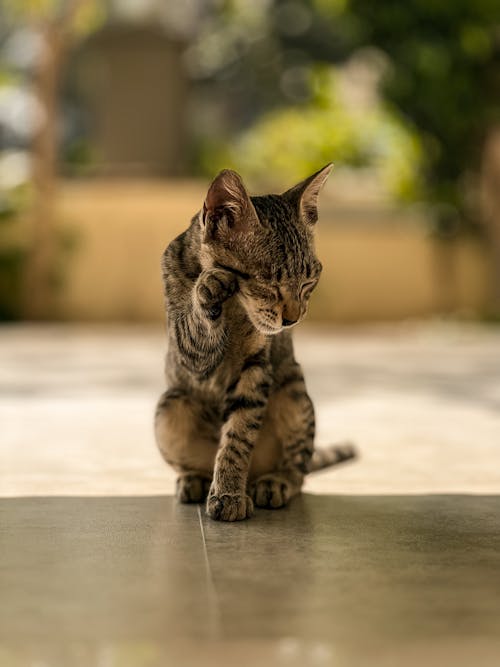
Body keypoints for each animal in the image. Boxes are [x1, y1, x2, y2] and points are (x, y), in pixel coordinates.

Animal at [154, 163, 354, 520]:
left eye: (309, 282)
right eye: (267, 284)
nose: (293, 319)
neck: (234, 312)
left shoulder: (256, 366)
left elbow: (238, 435)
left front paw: (229, 493)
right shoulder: (186, 350)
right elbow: (197, 324)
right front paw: (208, 287)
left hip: (294, 392)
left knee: (298, 469)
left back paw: (274, 482)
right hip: (169, 408)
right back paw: (194, 479)